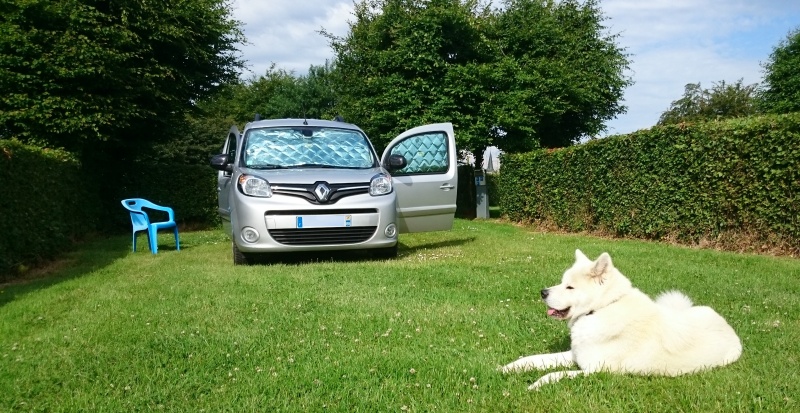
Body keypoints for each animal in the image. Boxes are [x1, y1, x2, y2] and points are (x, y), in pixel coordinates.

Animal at [504, 249, 740, 388]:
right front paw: (505, 369)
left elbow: (555, 375)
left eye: (570, 287)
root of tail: (728, 327)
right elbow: (532, 359)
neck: (600, 309)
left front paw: (535, 384)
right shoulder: (575, 355)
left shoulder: (596, 370)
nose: (543, 292)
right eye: (562, 282)